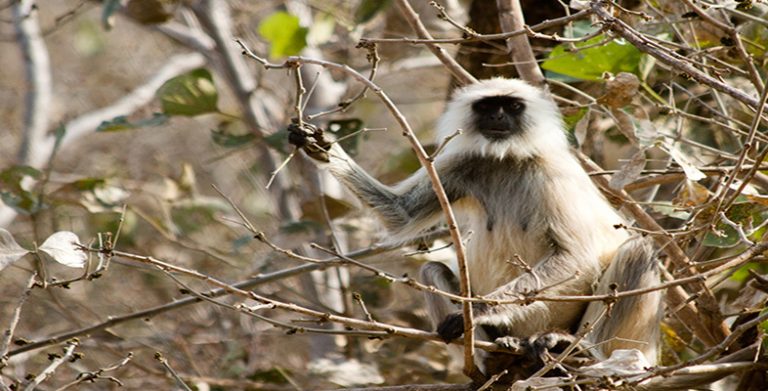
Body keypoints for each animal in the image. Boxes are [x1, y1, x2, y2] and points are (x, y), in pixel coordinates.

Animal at [292, 79, 664, 376]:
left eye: (512, 106)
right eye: (486, 106)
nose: (498, 118)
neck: (508, 159)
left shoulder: (551, 173)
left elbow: (576, 256)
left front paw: (480, 311)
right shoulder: (467, 163)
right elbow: (402, 214)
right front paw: (321, 149)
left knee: (638, 250)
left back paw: (584, 353)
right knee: (431, 270)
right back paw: (499, 359)